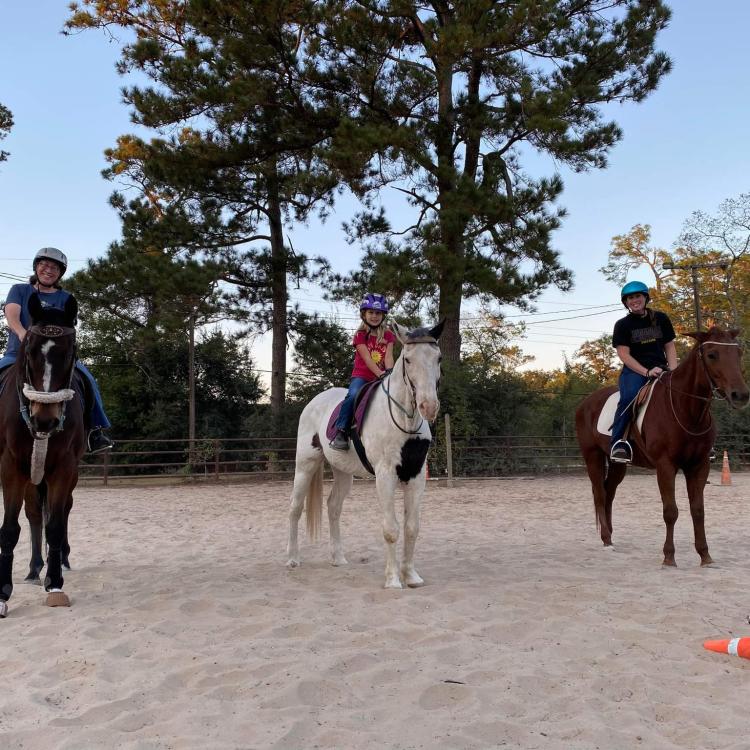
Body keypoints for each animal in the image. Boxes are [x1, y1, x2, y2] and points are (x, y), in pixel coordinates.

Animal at [0, 292, 84, 616]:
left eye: (70, 352)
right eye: (30, 350)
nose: (44, 421)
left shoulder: (64, 468)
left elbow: (57, 526)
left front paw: (56, 583)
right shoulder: (12, 467)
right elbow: (10, 529)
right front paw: (3, 593)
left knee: (59, 514)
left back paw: (56, 563)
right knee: (34, 515)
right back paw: (35, 569)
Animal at [286, 320, 440, 592]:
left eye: (438, 358)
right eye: (408, 360)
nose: (428, 407)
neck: (404, 420)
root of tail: (315, 401)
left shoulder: (416, 475)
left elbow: (412, 528)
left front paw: (411, 576)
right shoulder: (385, 475)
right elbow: (391, 529)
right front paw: (393, 580)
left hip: (343, 471)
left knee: (333, 507)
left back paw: (338, 558)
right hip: (305, 465)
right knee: (295, 507)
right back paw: (293, 559)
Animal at [580, 326, 748, 568]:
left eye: (738, 353)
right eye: (711, 355)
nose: (740, 395)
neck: (685, 408)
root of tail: (586, 402)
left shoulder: (699, 466)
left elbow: (698, 511)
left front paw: (705, 555)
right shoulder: (665, 465)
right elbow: (670, 511)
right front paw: (669, 557)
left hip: (618, 463)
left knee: (609, 492)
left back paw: (609, 537)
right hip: (592, 456)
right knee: (600, 494)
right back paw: (605, 538)